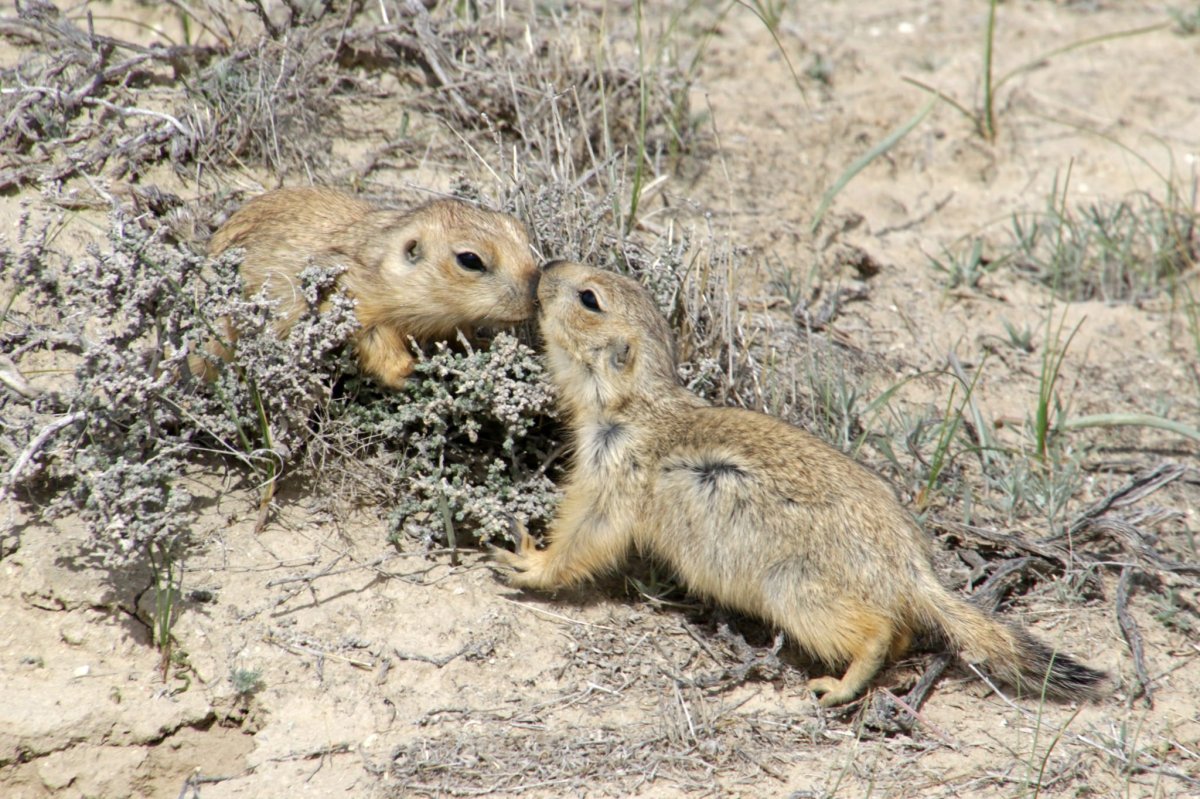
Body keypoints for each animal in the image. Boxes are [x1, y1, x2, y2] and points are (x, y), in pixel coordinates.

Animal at [198, 187, 540, 386]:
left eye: (520, 231)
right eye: (470, 259)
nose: (536, 296)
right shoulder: (354, 296)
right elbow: (376, 340)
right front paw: (413, 372)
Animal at [496, 261, 1104, 705]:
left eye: (589, 299)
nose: (546, 266)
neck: (637, 404)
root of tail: (913, 571)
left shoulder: (615, 474)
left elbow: (588, 535)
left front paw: (525, 561)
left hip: (797, 589)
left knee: (875, 632)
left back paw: (837, 687)